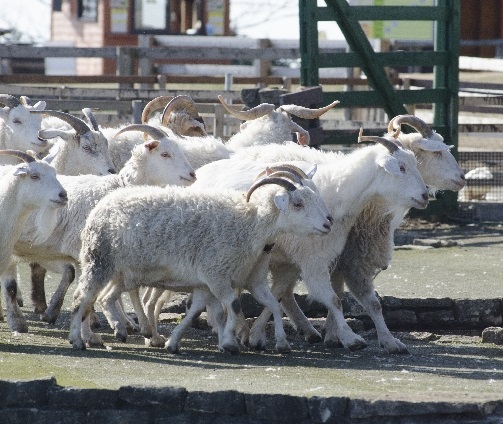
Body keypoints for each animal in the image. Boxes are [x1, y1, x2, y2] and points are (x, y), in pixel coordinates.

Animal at [69, 174, 332, 352]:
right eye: (298, 203)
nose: (327, 224)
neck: (251, 223)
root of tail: (102, 204)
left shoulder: (245, 278)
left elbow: (270, 306)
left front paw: (280, 342)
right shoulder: (216, 274)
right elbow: (233, 306)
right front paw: (230, 342)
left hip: (126, 273)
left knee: (105, 297)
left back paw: (121, 330)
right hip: (99, 259)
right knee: (82, 298)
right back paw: (78, 339)